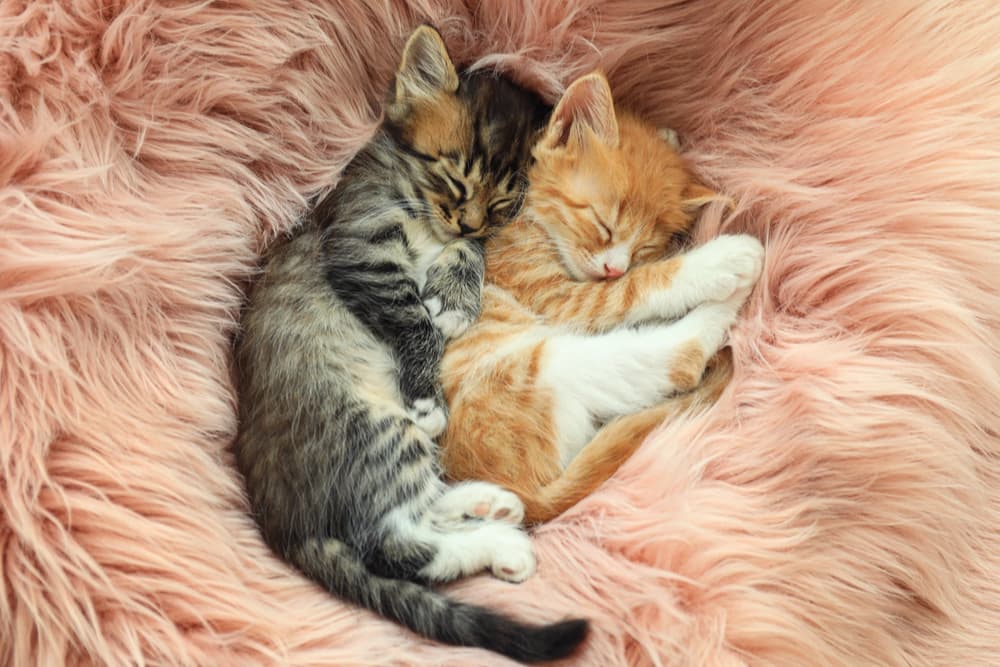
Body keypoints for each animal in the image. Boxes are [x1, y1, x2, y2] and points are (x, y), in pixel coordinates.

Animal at [231, 27, 584, 664]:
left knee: (411, 518)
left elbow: (471, 256)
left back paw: (487, 505)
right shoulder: (360, 242)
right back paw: (501, 542)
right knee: (398, 545)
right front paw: (427, 385)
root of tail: (282, 523)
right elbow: (413, 318)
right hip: (371, 429)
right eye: (454, 179)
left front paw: (456, 287)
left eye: (502, 204)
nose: (466, 222)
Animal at [440, 72, 764, 520]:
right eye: (603, 224)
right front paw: (715, 264)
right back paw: (737, 268)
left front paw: (668, 138)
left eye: (645, 247)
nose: (614, 267)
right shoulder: (556, 298)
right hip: (540, 365)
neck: (529, 219)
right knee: (679, 358)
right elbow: (634, 289)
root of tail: (517, 493)